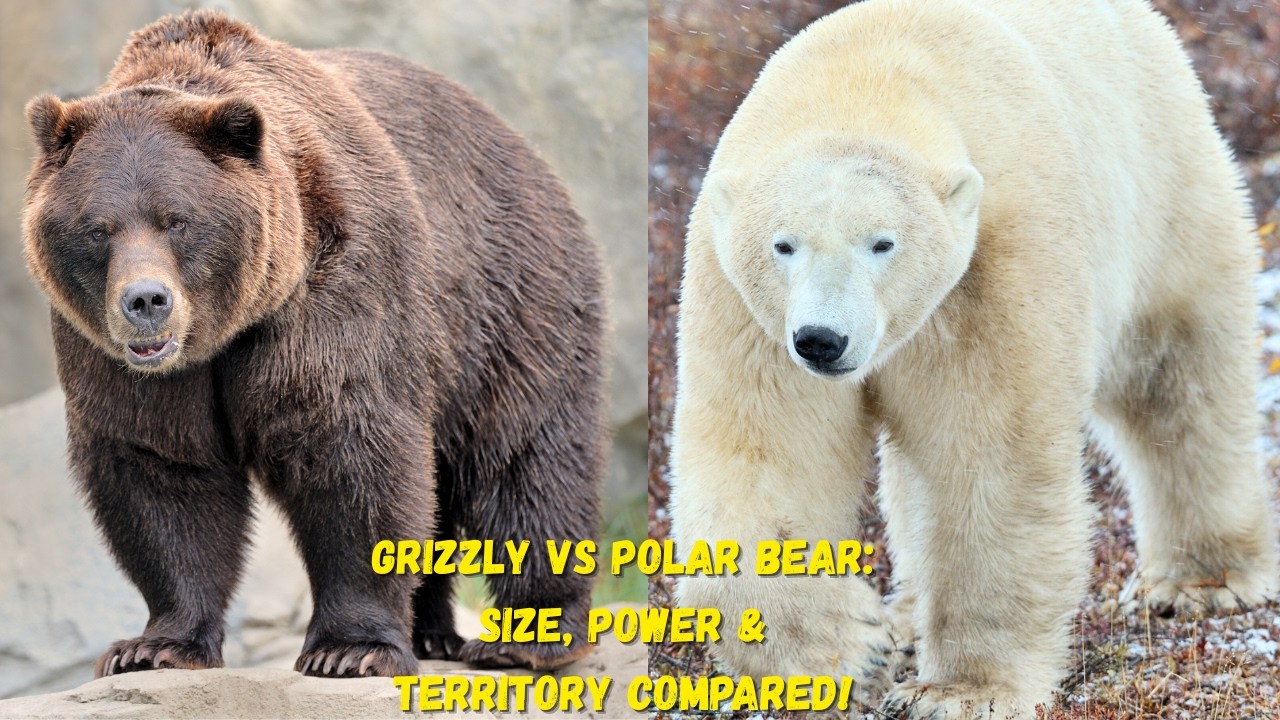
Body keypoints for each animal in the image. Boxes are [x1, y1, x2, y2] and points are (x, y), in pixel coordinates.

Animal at [22, 11, 606, 679]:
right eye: (99, 228)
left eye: (177, 220)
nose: (146, 301)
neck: (227, 330)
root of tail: (523, 148)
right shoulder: (110, 355)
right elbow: (162, 470)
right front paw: (153, 645)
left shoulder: (335, 288)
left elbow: (347, 449)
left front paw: (349, 650)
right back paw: (433, 633)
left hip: (505, 304)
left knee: (526, 461)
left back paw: (525, 636)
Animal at [669, 0, 1278, 717]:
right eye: (783, 244)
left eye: (884, 243)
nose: (823, 339)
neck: (867, 77)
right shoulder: (746, 309)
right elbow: (765, 458)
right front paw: (852, 652)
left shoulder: (994, 265)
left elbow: (990, 458)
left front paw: (959, 691)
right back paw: (907, 612)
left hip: (1163, 192)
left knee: (1177, 381)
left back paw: (1201, 580)